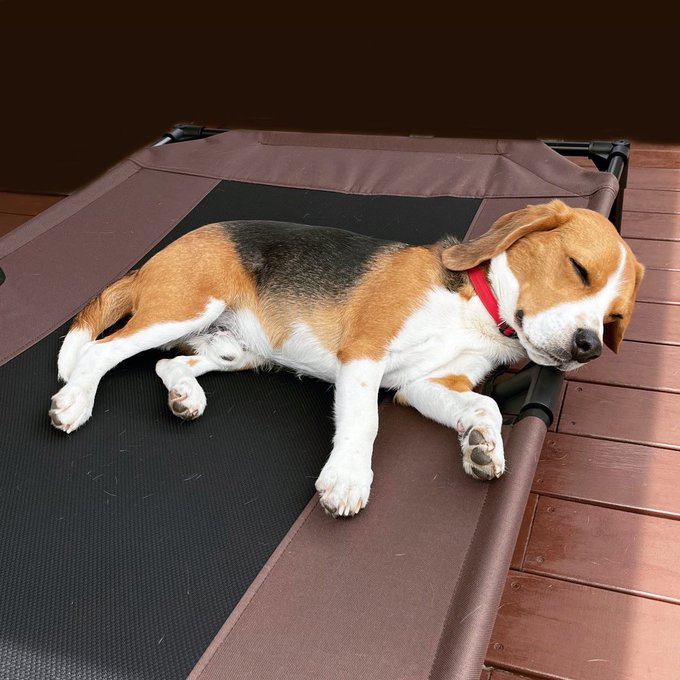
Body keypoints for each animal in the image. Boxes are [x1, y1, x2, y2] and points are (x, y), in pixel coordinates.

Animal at [49, 199, 644, 517]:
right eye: (579, 269)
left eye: (615, 319)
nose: (588, 347)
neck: (479, 308)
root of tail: (160, 255)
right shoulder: (366, 350)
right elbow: (364, 421)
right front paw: (349, 479)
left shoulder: (425, 383)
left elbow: (487, 407)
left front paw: (481, 447)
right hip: (186, 306)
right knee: (101, 351)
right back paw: (74, 401)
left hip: (233, 347)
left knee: (165, 363)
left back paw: (183, 395)